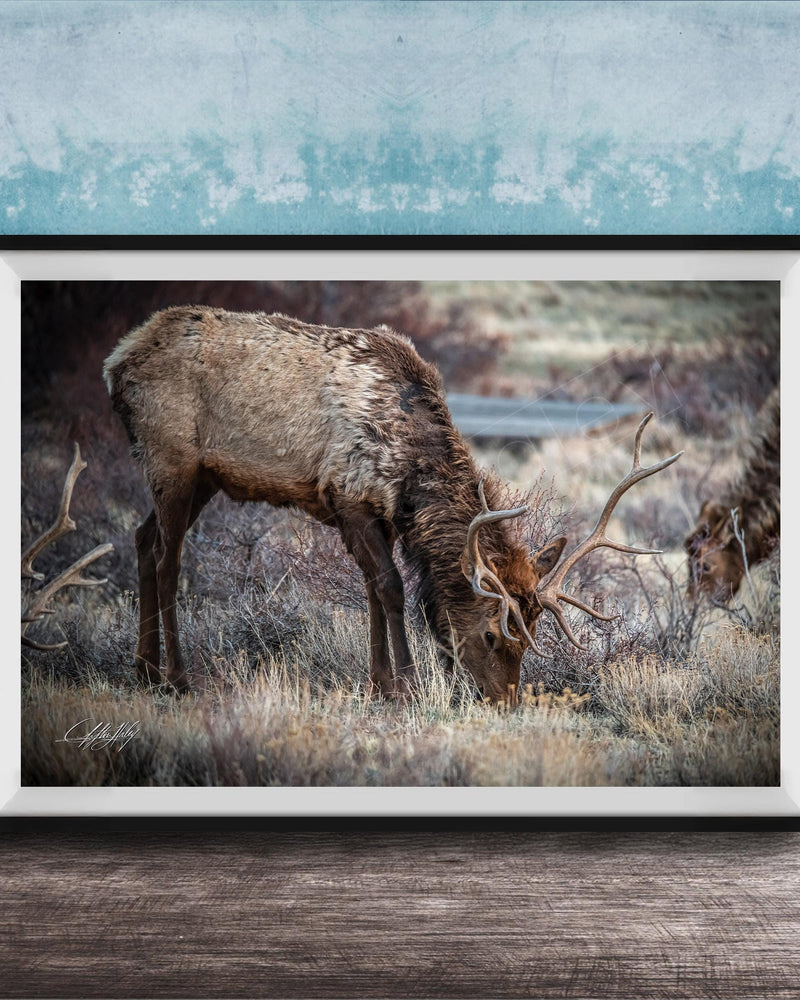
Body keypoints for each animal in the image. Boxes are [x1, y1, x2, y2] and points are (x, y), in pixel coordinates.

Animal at [104, 306, 681, 703]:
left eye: (534, 632)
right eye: (493, 634)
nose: (504, 702)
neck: (409, 471)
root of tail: (116, 363)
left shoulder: (375, 511)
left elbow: (370, 589)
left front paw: (379, 681)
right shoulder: (348, 495)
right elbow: (391, 588)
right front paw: (405, 683)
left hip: (200, 475)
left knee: (142, 538)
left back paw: (143, 669)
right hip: (173, 458)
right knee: (168, 557)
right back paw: (177, 677)